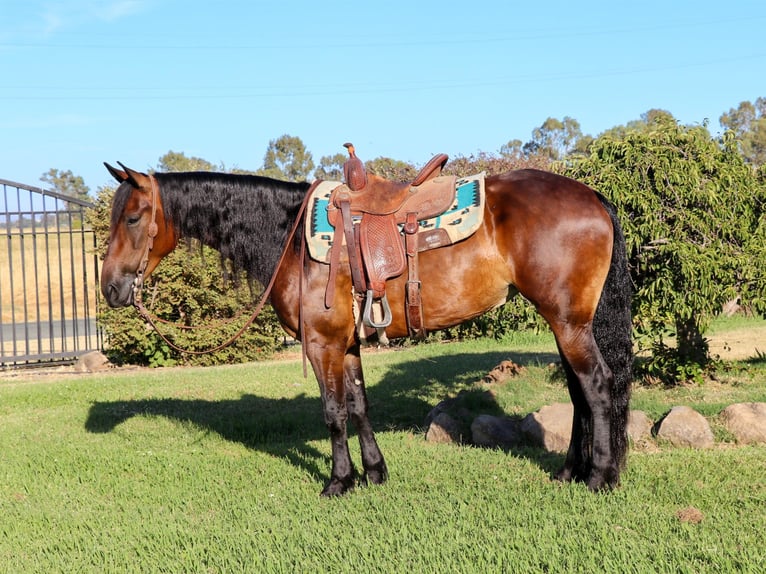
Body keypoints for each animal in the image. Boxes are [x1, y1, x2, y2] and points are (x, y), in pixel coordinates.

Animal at [99, 160, 632, 498]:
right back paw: (570, 471)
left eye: (133, 217)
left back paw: (600, 478)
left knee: (597, 386)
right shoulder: (347, 344)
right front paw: (374, 472)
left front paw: (339, 481)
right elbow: (358, 405)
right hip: (566, 322)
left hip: (568, 322)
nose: (110, 288)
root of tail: (593, 196)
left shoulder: (322, 344)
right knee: (579, 392)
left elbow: (333, 412)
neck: (290, 238)